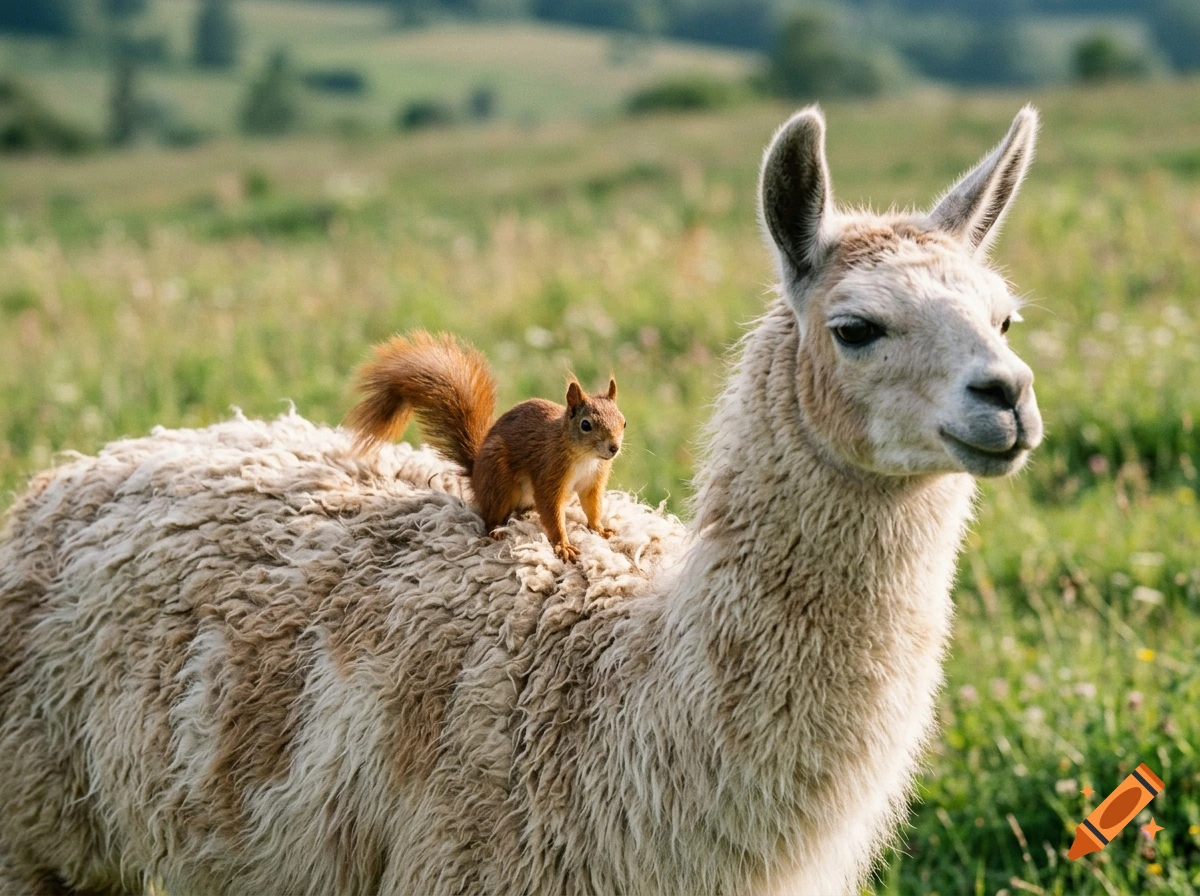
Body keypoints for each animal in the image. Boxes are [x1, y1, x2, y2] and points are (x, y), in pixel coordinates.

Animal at [346, 330, 625, 562]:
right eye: (586, 425)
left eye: (623, 422)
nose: (614, 449)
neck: (585, 457)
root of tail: (475, 473)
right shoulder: (549, 471)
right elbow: (552, 513)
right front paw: (563, 545)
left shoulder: (592, 482)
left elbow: (592, 506)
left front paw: (600, 529)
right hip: (499, 481)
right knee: (489, 517)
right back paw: (496, 532)